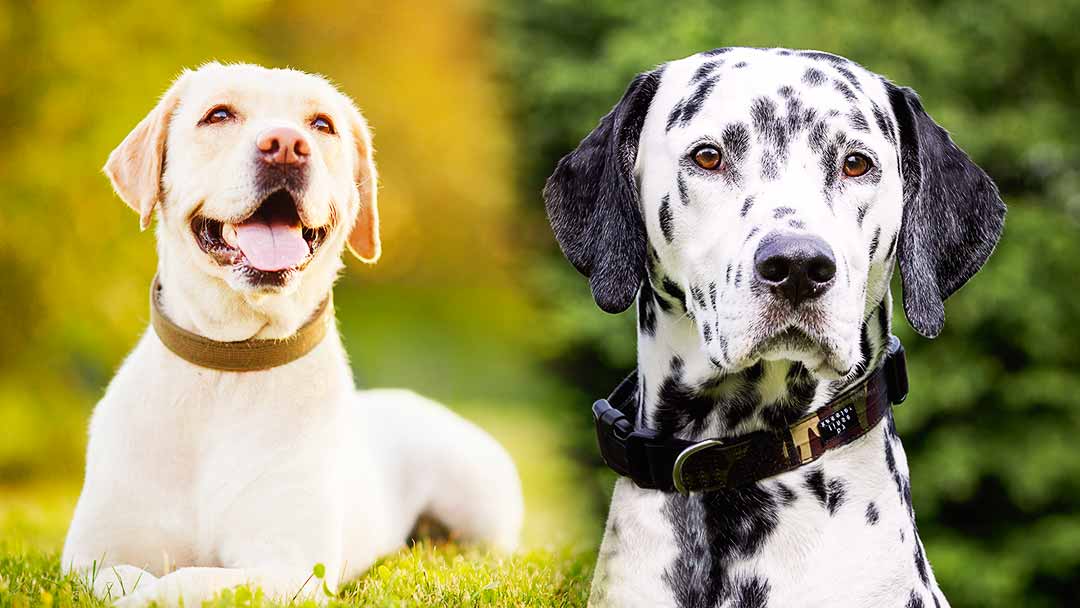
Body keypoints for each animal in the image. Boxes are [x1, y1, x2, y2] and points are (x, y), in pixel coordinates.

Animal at [61, 64, 524, 604]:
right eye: (218, 115)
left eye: (322, 125)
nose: (285, 145)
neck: (230, 362)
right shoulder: (90, 555)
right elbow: (125, 579)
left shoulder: (290, 569)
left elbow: (184, 580)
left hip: (481, 506)